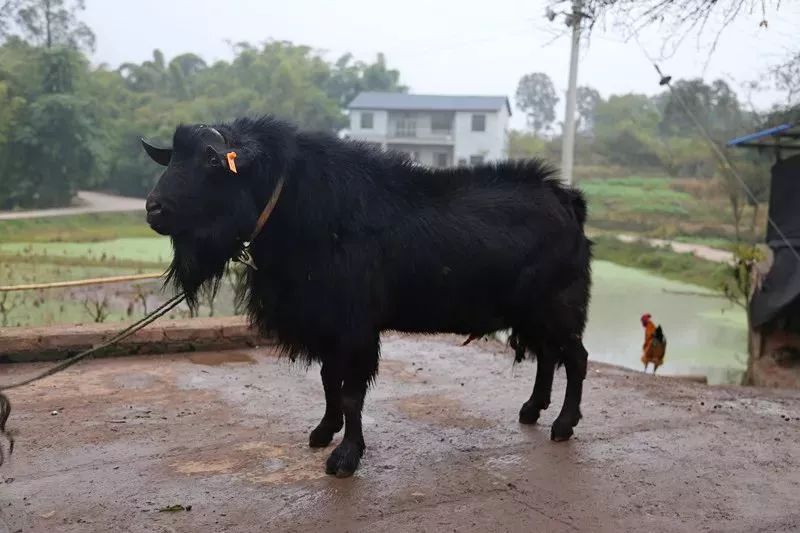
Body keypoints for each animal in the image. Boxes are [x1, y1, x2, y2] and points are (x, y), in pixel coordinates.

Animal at [142, 117, 592, 478]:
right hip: (534, 311)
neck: (304, 209)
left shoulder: (356, 328)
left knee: (574, 357)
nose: (153, 208)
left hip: (559, 305)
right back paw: (532, 410)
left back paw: (563, 424)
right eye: (172, 158)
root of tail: (568, 200)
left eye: (211, 159)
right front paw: (324, 432)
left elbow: (350, 392)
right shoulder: (328, 325)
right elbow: (328, 380)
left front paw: (345, 458)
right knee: (548, 355)